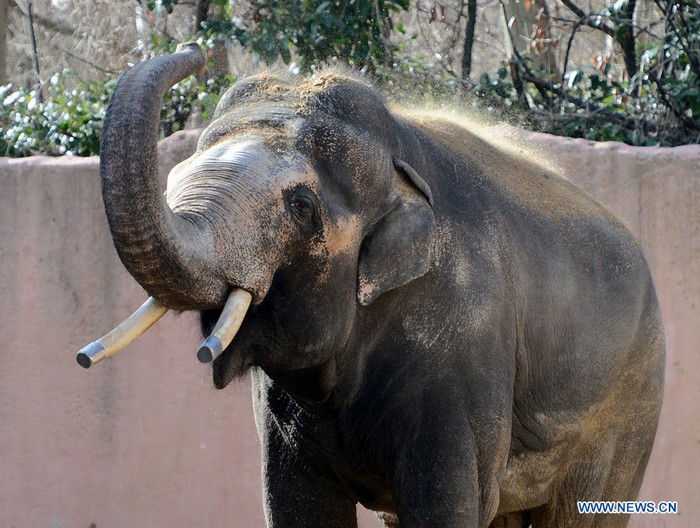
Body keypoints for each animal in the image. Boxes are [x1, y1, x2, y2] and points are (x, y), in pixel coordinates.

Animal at [95, 45, 664, 528]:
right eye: (175, 179)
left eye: (301, 206)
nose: (194, 49)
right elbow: (296, 506)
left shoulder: (464, 349)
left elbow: (447, 505)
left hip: (628, 406)